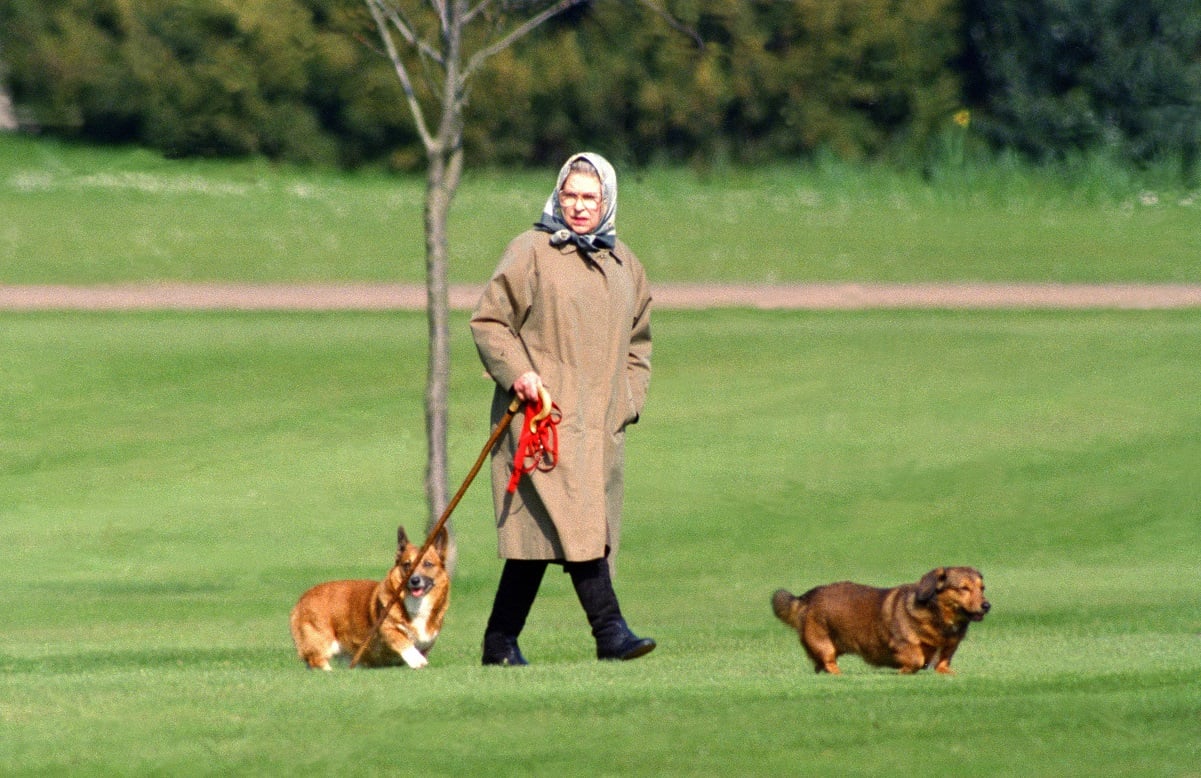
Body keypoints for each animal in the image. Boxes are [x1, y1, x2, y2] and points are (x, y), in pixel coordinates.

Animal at [290, 525, 451, 672]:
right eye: (407, 565)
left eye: (428, 564)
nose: (415, 580)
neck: (417, 605)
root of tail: (302, 599)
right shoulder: (386, 629)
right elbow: (402, 640)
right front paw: (417, 660)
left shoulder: (427, 642)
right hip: (323, 641)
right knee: (317, 660)